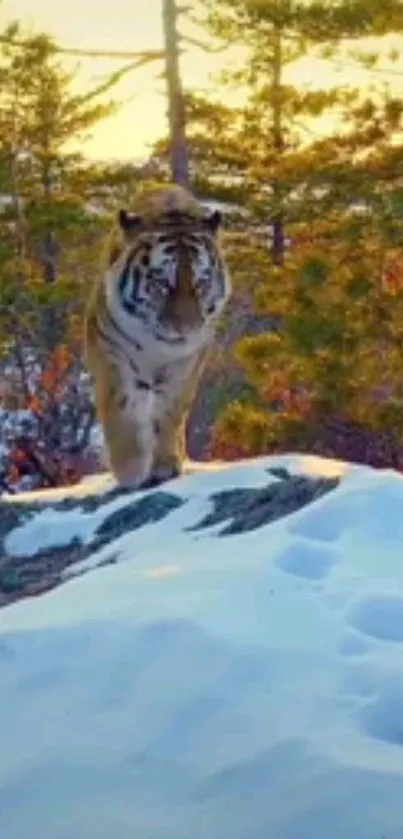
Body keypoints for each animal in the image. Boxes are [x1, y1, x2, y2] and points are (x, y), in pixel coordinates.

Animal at [83, 180, 232, 488]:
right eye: (162, 283)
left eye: (201, 283)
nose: (186, 330)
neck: (157, 345)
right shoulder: (111, 353)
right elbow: (123, 411)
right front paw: (131, 471)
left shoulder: (186, 364)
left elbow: (169, 414)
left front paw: (165, 466)